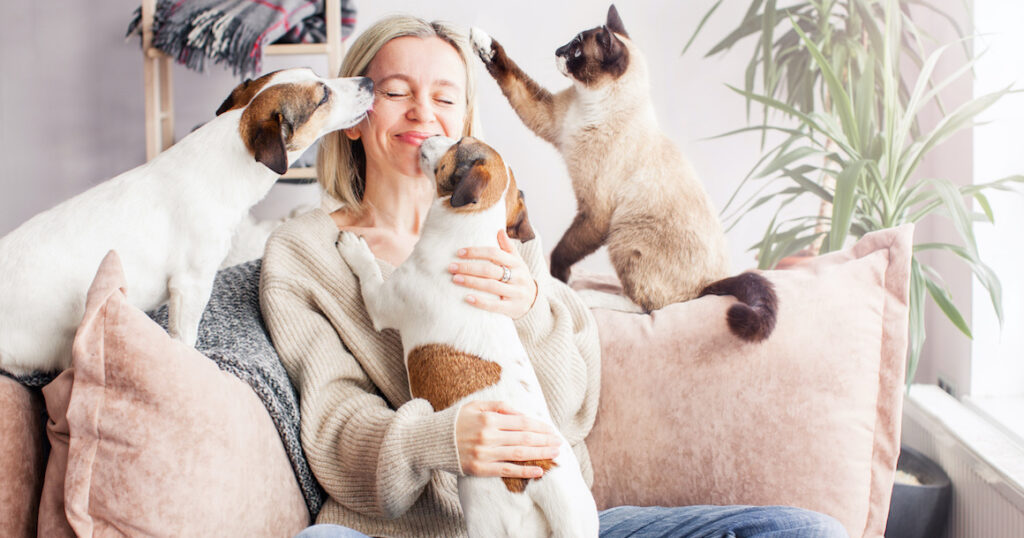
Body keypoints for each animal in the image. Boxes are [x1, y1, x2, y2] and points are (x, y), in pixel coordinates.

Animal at [337, 135, 598, 536]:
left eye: (459, 142)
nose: (432, 135)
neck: (470, 231)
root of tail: (542, 472)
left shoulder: (382, 302)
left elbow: (368, 273)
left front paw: (356, 248)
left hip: (484, 513)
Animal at [468, 5, 774, 340]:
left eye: (576, 50)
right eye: (569, 43)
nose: (557, 51)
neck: (588, 105)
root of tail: (709, 285)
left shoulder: (594, 213)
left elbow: (561, 253)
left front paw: (560, 281)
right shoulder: (547, 118)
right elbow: (511, 74)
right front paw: (482, 41)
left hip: (624, 235)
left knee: (650, 307)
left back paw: (588, 296)